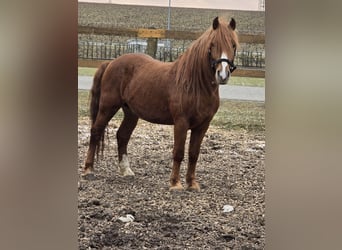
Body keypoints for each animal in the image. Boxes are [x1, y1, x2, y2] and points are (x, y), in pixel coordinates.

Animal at [83, 16, 238, 190]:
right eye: (213, 44)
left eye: (233, 45)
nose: (223, 75)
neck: (195, 85)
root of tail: (111, 63)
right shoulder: (181, 122)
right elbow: (178, 152)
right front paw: (175, 184)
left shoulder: (203, 125)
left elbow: (193, 154)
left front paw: (192, 184)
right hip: (107, 107)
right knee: (96, 131)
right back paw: (88, 170)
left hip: (131, 112)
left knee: (122, 135)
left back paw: (126, 171)